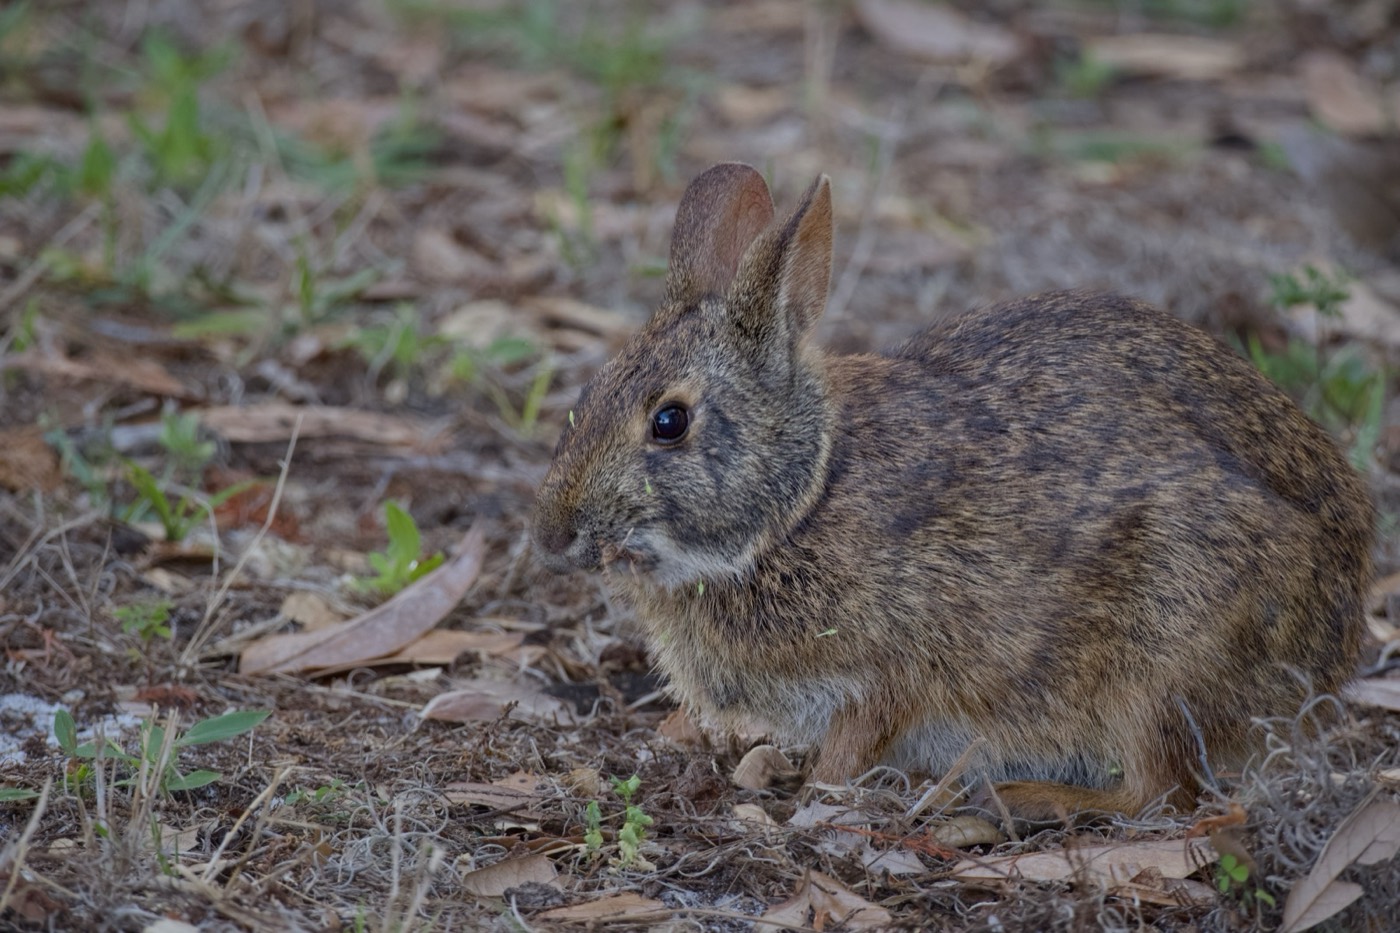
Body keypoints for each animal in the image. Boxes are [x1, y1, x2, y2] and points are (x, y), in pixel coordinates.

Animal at [531, 162, 1374, 819]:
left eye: (669, 422)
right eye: (592, 391)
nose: (552, 537)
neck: (802, 500)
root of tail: (1333, 650)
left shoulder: (895, 665)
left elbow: (856, 740)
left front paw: (812, 790)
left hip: (1161, 661)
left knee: (1160, 792)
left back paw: (1024, 796)